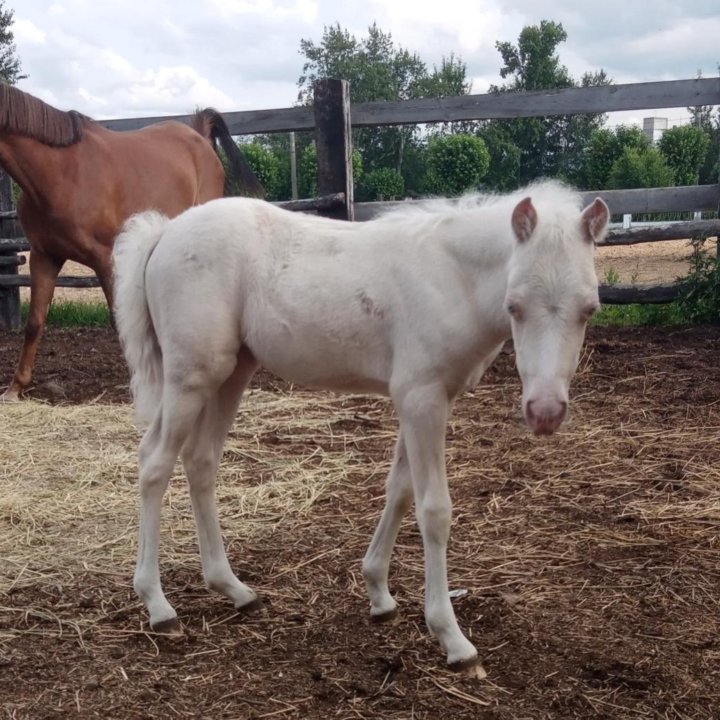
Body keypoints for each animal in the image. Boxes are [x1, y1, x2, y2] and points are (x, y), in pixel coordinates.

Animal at [0, 83, 264, 404]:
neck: (61, 172)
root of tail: (199, 136)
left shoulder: (105, 257)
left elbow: (119, 321)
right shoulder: (44, 256)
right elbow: (35, 322)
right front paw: (16, 387)